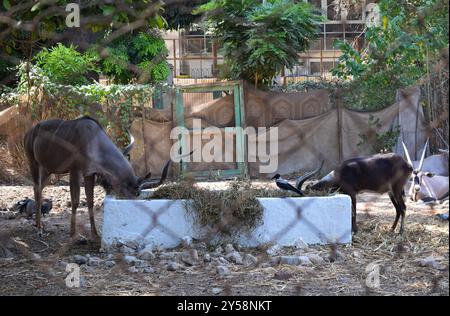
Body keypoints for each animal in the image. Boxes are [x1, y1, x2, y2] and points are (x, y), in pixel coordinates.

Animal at [23, 117, 173, 238]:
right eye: (134, 193)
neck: (94, 141)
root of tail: (30, 133)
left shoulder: (90, 174)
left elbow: (90, 201)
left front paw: (95, 234)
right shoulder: (75, 171)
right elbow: (75, 202)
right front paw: (73, 234)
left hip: (47, 170)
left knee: (38, 189)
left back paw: (38, 225)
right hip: (33, 163)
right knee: (36, 188)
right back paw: (39, 229)